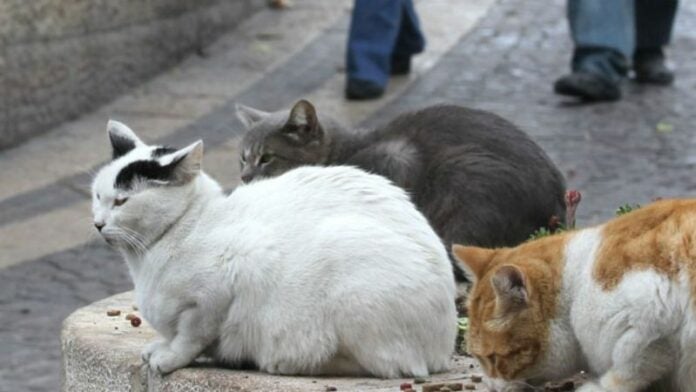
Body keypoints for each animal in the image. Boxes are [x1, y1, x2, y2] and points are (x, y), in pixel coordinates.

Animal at [91, 121, 456, 378]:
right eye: (97, 195)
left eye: (122, 201)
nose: (97, 224)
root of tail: (444, 348)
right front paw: (160, 347)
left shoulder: (223, 287)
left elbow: (190, 337)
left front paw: (169, 358)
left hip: (351, 281)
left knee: (388, 365)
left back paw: (291, 363)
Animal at [454, 199, 696, 392]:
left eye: (493, 358)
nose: (491, 387)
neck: (577, 286)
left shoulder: (652, 309)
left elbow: (631, 363)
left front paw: (599, 387)